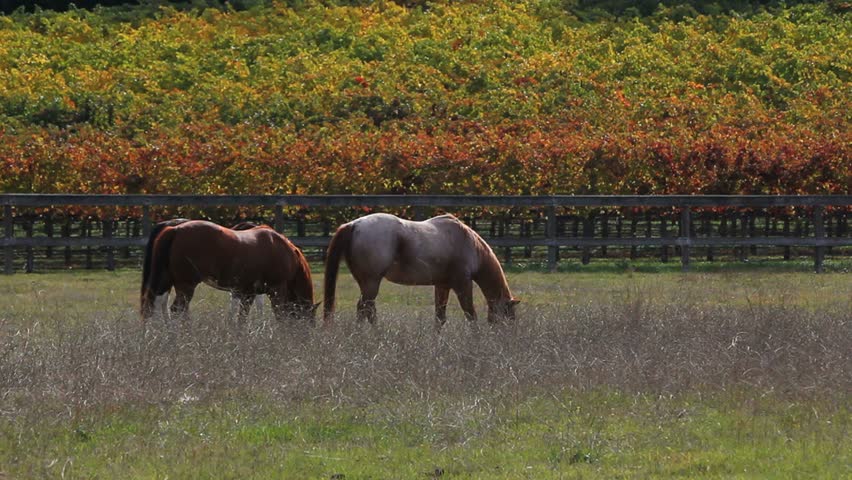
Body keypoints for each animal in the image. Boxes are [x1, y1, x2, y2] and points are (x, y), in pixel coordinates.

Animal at [140, 219, 316, 325]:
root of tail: (174, 229)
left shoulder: (247, 293)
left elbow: (241, 319)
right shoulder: (276, 290)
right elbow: (280, 315)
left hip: (165, 281)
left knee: (156, 306)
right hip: (185, 285)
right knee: (177, 310)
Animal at [322, 213, 519, 329]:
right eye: (509, 317)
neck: (469, 244)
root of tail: (354, 225)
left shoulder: (442, 285)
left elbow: (440, 318)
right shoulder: (462, 284)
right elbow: (471, 314)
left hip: (366, 283)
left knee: (366, 309)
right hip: (371, 283)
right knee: (365, 308)